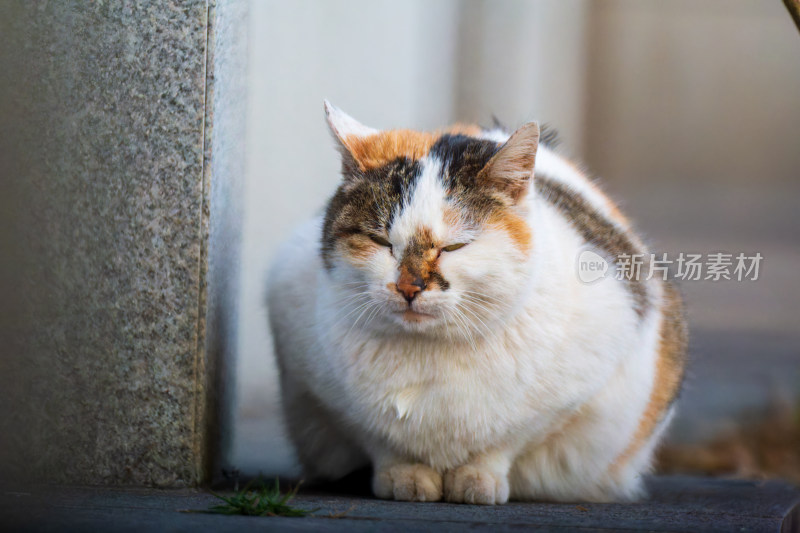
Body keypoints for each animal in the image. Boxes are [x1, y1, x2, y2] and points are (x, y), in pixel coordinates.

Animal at [268, 100, 688, 502]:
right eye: (380, 241)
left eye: (455, 246)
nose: (409, 287)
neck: (429, 353)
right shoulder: (321, 384)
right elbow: (380, 439)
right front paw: (405, 475)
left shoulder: (582, 381)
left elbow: (506, 441)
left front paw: (477, 479)